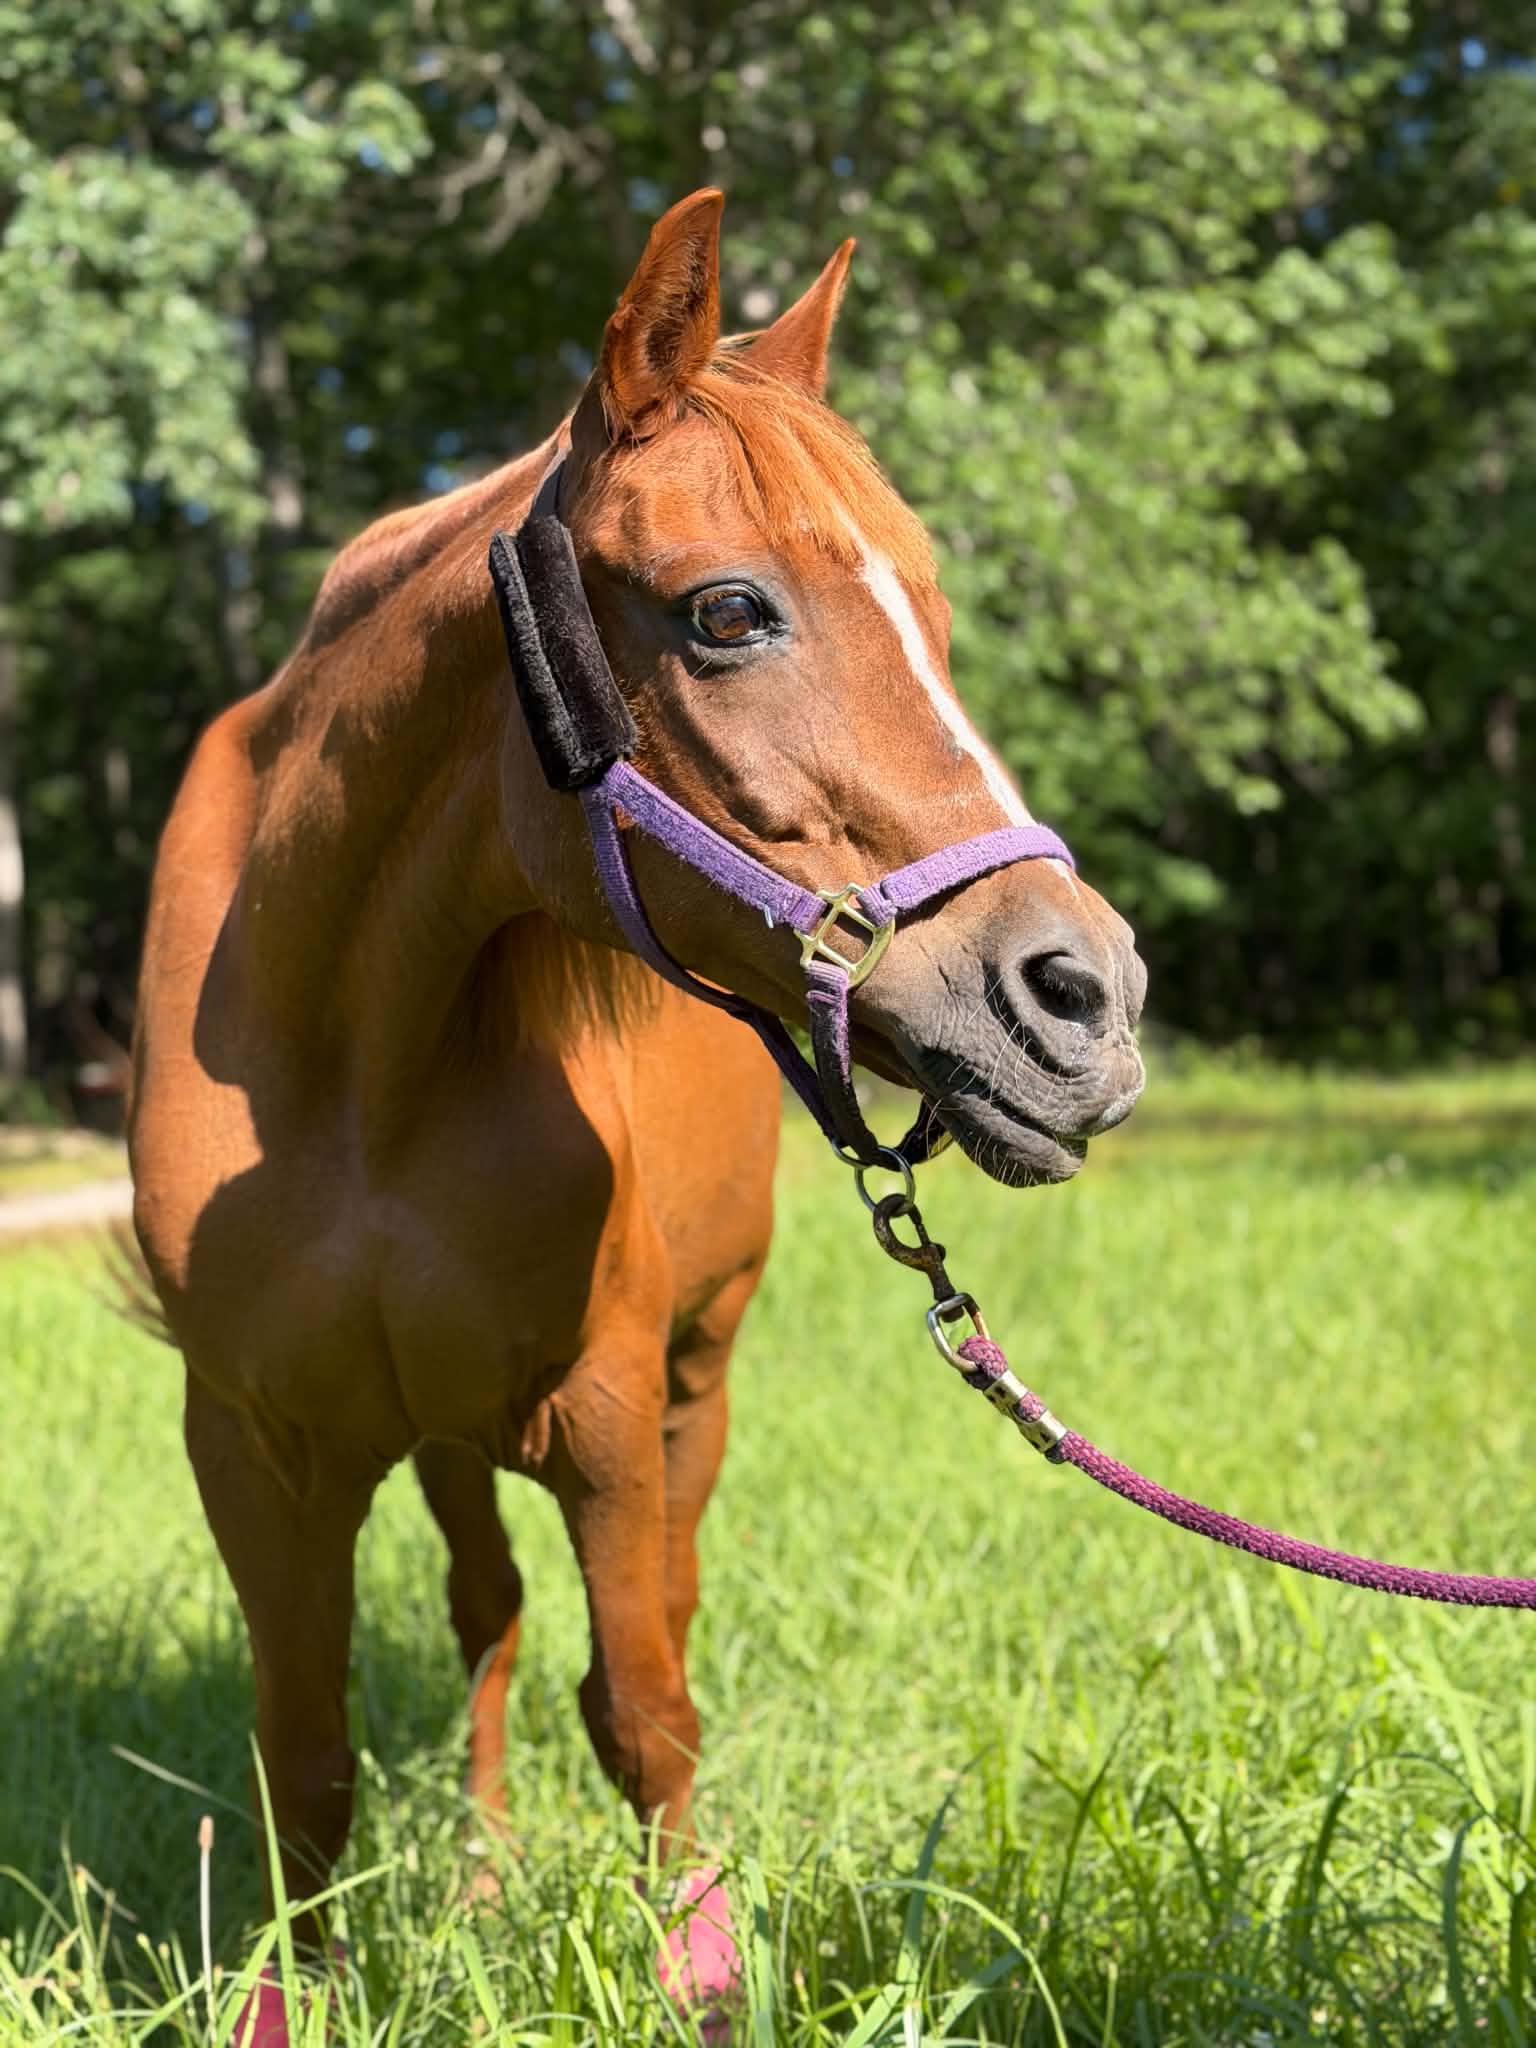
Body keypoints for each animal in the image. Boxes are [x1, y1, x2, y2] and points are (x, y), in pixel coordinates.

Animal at [128, 188, 1147, 2028]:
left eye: (935, 613)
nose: (1086, 999)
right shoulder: (253, 1444)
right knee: (486, 1614)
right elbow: (303, 1758)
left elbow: (644, 1707)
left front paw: (703, 1973)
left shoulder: (601, 1412)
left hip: (693, 1378)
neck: (358, 1067)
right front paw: (296, 1996)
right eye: (728, 611)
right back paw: (475, 1874)